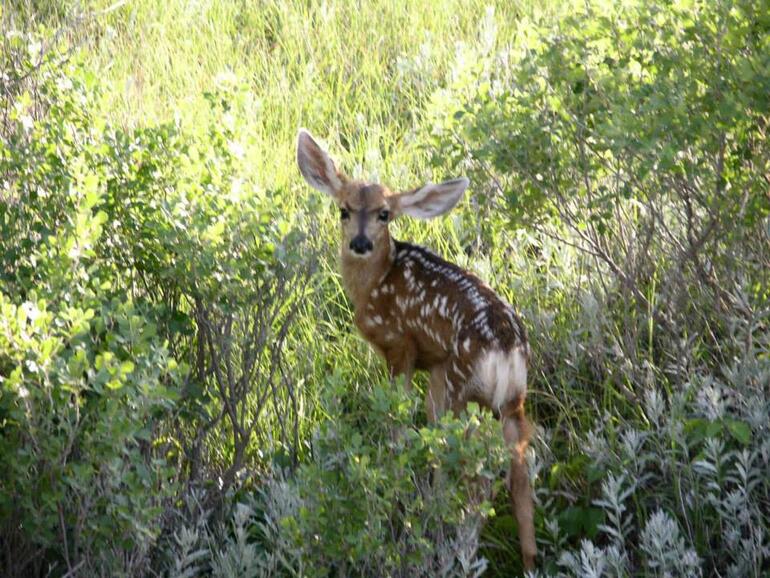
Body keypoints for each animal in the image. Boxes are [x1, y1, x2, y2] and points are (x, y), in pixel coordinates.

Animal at [296, 127, 536, 568]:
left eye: (384, 214)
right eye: (343, 210)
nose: (359, 243)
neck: (373, 285)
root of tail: (507, 348)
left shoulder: (400, 345)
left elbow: (398, 424)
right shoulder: (436, 366)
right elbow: (431, 433)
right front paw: (428, 500)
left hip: (467, 388)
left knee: (479, 478)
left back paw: (460, 548)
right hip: (512, 399)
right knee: (520, 473)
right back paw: (527, 561)